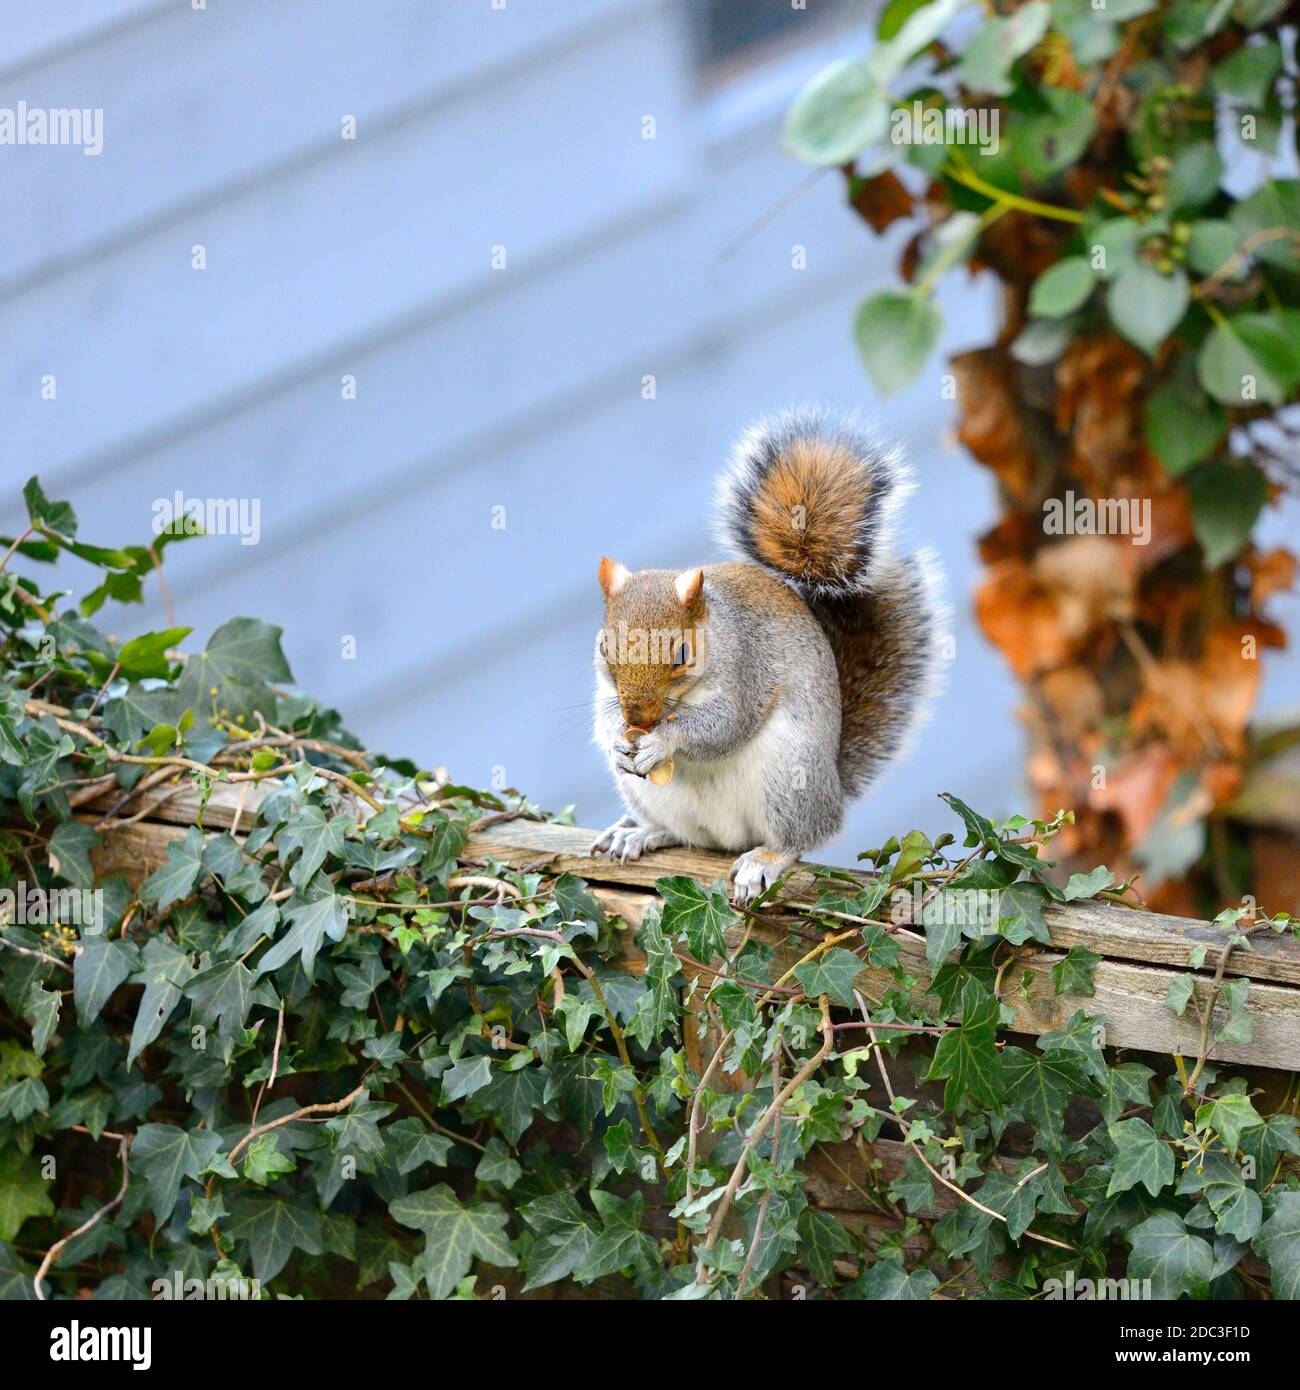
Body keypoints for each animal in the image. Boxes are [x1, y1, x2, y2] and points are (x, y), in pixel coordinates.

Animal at [589, 405, 945, 906]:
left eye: (681, 653)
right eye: (604, 648)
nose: (636, 716)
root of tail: (833, 792)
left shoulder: (747, 670)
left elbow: (723, 725)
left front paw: (662, 741)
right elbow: (605, 716)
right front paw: (619, 740)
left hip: (789, 775)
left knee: (800, 838)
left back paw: (766, 858)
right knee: (683, 836)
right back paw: (640, 832)